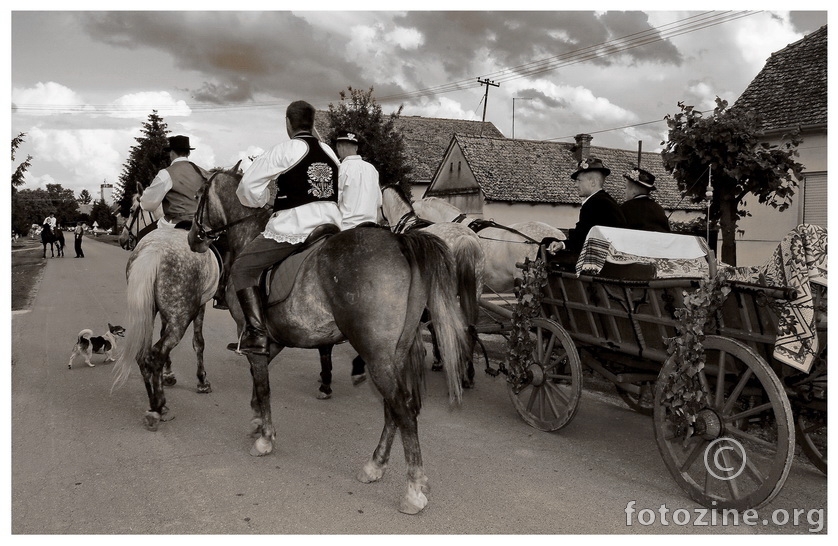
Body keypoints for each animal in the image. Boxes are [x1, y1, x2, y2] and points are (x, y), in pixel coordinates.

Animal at [184, 165, 470, 510]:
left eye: (198, 196)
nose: (192, 238)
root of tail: (400, 241)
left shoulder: (252, 333)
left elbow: (263, 385)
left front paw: (265, 437)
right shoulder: (273, 339)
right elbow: (257, 380)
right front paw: (256, 422)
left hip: (377, 355)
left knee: (402, 409)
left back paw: (413, 490)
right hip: (395, 355)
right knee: (396, 408)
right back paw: (375, 465)